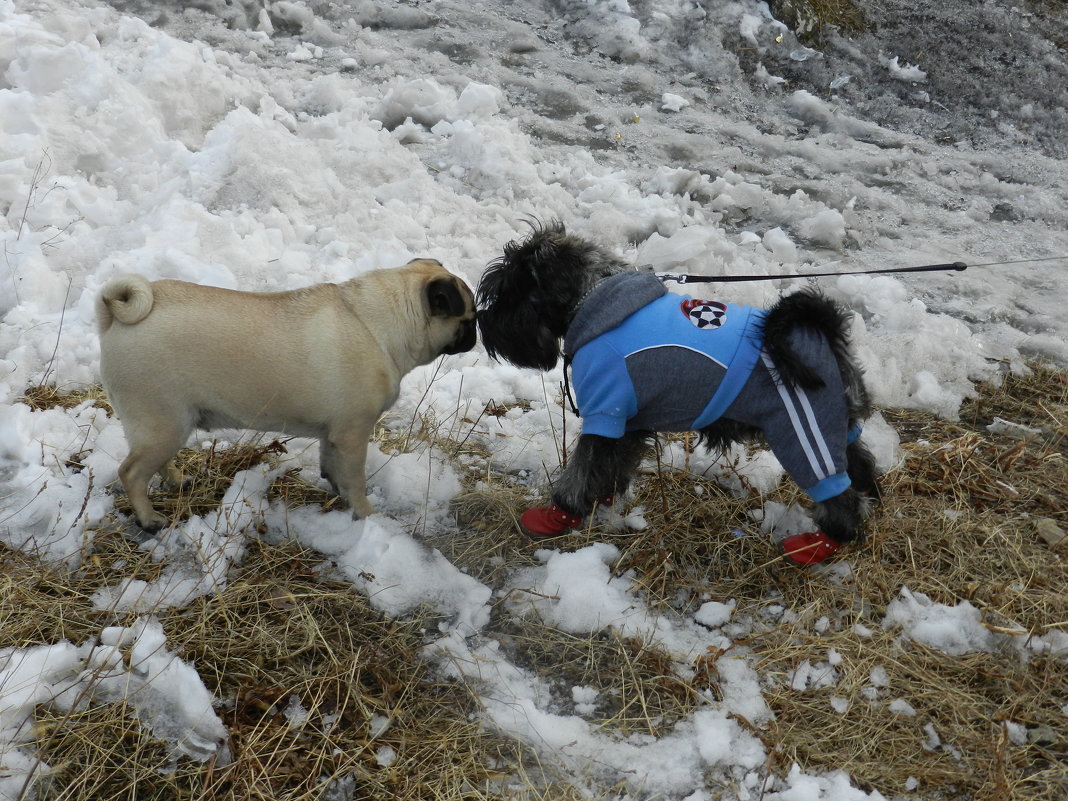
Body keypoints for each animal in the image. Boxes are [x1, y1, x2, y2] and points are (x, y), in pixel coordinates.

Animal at [97, 260, 476, 529]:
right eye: (468, 318)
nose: (476, 335)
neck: (379, 324)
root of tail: (113, 317)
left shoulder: (334, 435)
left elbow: (332, 467)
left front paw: (336, 491)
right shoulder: (353, 434)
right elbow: (355, 480)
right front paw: (365, 514)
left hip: (164, 427)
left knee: (154, 463)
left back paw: (176, 480)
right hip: (164, 423)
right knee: (132, 472)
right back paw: (149, 520)